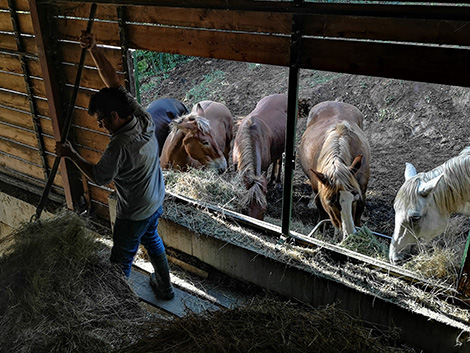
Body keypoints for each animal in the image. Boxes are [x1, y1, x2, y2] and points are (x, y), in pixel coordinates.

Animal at [300, 102, 370, 239]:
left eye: (354, 198)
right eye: (330, 202)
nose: (349, 233)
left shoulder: (361, 190)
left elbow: (359, 211)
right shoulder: (317, 187)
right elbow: (320, 207)